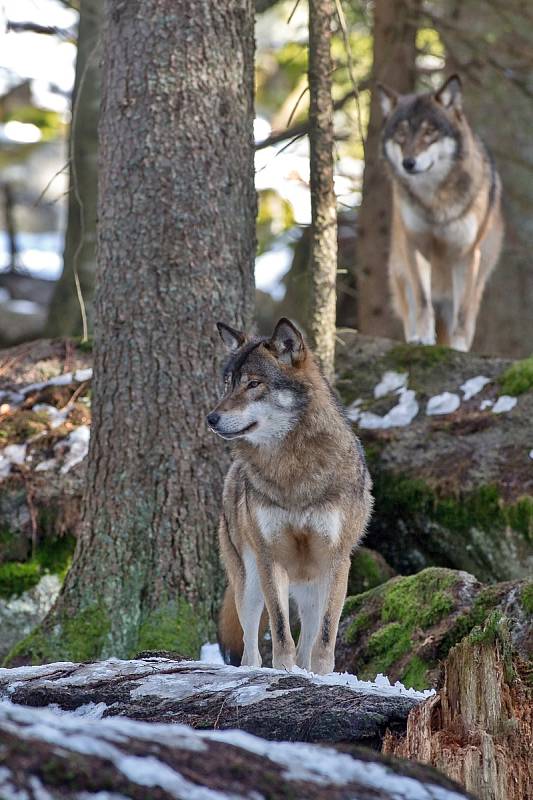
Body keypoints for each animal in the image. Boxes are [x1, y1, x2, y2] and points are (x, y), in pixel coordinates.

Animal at [206, 318, 372, 676]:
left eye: (254, 384)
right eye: (228, 384)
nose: (211, 418)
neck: (292, 470)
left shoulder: (336, 560)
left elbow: (325, 635)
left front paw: (321, 676)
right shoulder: (271, 558)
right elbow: (281, 628)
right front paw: (283, 671)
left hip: (311, 588)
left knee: (308, 637)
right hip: (249, 583)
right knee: (250, 644)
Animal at [376, 74, 500, 350]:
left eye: (429, 131)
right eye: (401, 133)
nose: (408, 163)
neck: (435, 201)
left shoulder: (466, 254)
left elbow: (462, 317)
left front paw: (458, 349)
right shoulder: (415, 246)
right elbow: (423, 302)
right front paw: (423, 339)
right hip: (401, 276)